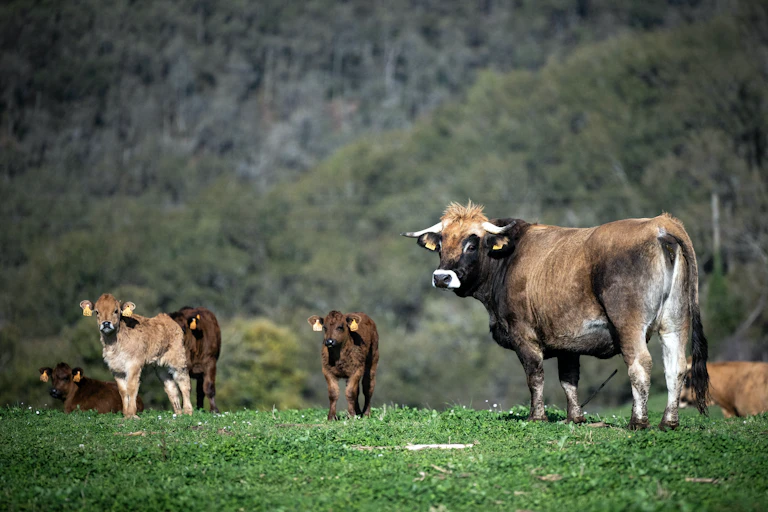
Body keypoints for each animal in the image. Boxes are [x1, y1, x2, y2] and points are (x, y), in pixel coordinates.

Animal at [402, 201, 709, 430]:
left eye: (471, 244)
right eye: (441, 244)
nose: (442, 277)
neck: (508, 258)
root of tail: (660, 224)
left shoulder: (524, 336)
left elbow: (535, 376)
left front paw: (536, 417)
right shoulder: (567, 342)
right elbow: (569, 379)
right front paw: (575, 418)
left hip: (629, 324)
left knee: (640, 365)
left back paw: (638, 421)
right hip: (675, 322)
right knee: (676, 366)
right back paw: (669, 422)